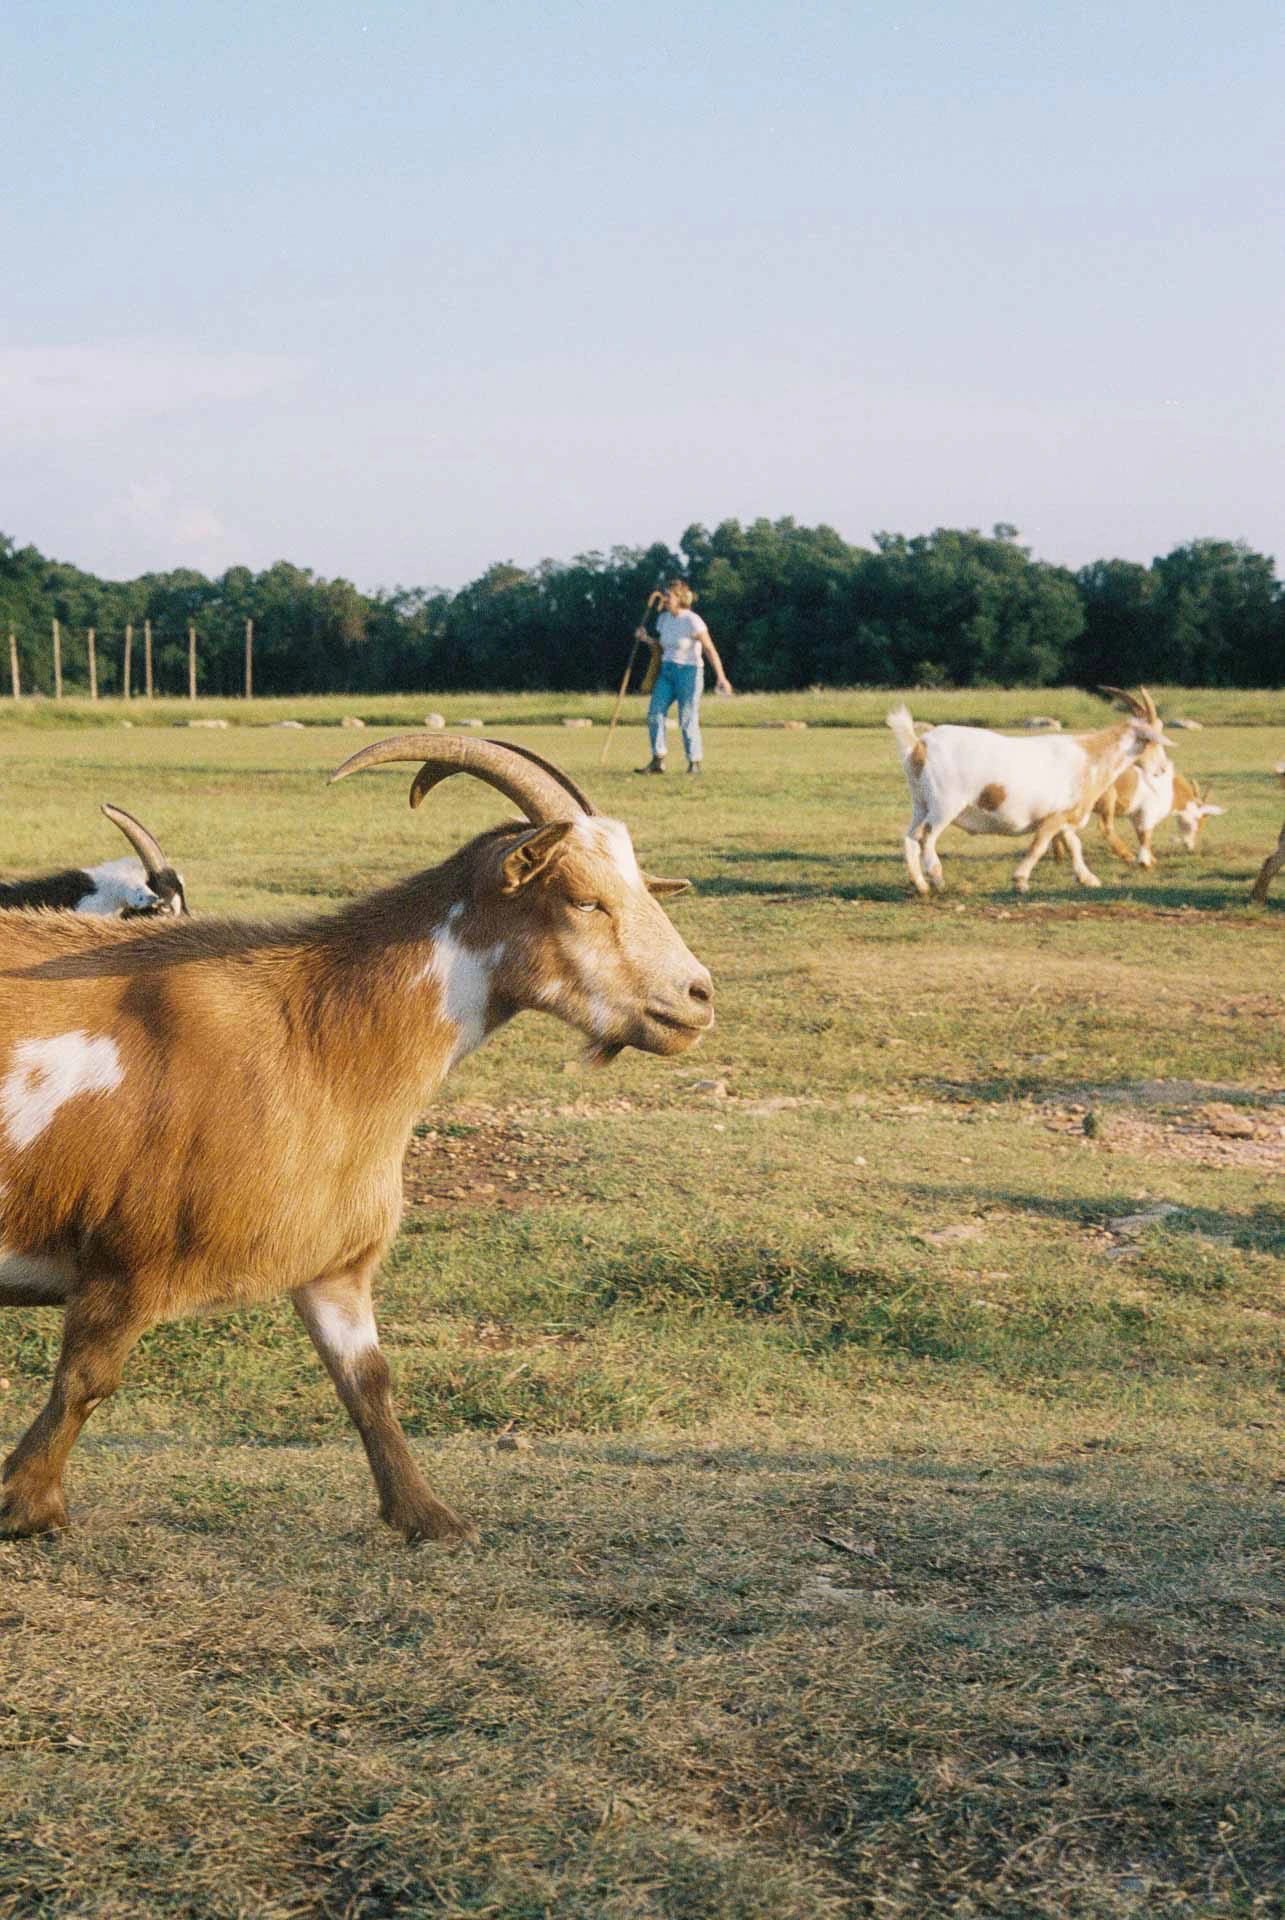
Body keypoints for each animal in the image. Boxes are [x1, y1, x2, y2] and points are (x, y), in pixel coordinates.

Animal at [887, 689, 1169, 894]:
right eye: (1152, 739)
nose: (1163, 768)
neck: (1090, 756)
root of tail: (920, 745)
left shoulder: (1065, 816)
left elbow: (1074, 844)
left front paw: (1088, 878)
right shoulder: (1053, 817)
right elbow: (1039, 845)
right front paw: (1020, 880)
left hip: (921, 802)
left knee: (910, 837)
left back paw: (920, 885)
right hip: (945, 804)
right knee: (926, 836)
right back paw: (936, 878)